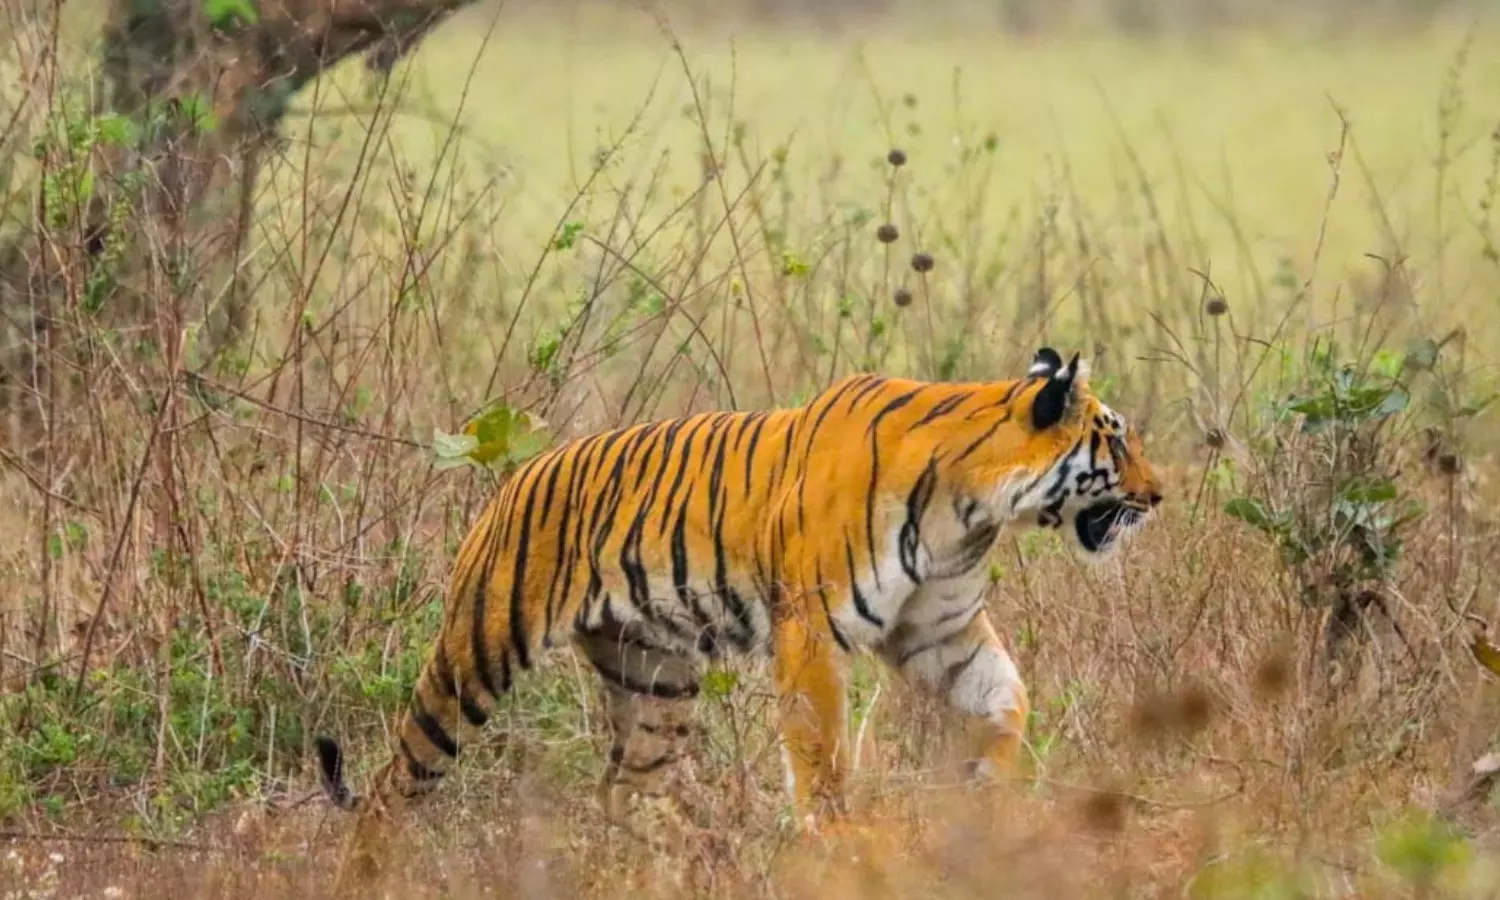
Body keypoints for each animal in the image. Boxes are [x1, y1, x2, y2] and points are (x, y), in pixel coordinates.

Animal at [314, 347, 1164, 886]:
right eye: (1116, 442)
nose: (1160, 495)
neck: (976, 506)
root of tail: (519, 475)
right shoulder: (813, 627)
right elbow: (820, 749)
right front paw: (837, 838)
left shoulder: (941, 630)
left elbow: (1004, 698)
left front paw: (989, 792)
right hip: (477, 655)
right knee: (398, 777)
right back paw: (364, 872)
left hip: (654, 675)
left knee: (626, 790)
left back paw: (664, 870)